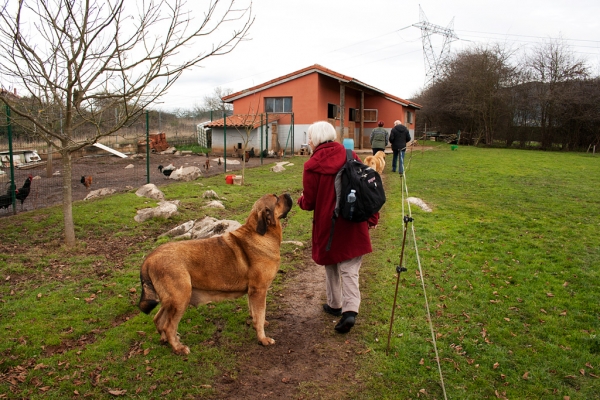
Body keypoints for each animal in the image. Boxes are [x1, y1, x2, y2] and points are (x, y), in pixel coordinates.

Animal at [139, 193, 292, 354]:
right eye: (277, 199)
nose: (287, 194)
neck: (261, 233)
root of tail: (149, 259)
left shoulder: (252, 291)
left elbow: (255, 312)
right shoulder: (259, 290)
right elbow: (260, 314)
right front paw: (263, 339)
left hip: (170, 301)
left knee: (158, 319)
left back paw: (165, 340)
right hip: (180, 299)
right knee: (168, 326)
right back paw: (178, 347)